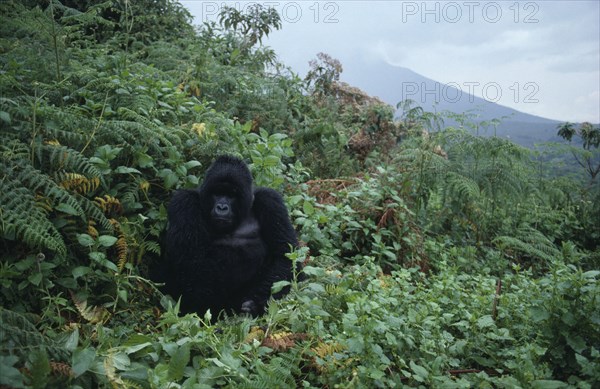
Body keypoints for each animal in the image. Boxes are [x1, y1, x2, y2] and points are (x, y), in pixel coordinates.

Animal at [163, 155, 298, 316]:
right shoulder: (184, 202)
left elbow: (284, 256)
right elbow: (191, 260)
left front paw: (255, 304)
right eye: (217, 193)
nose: (222, 207)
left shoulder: (270, 201)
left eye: (232, 195)